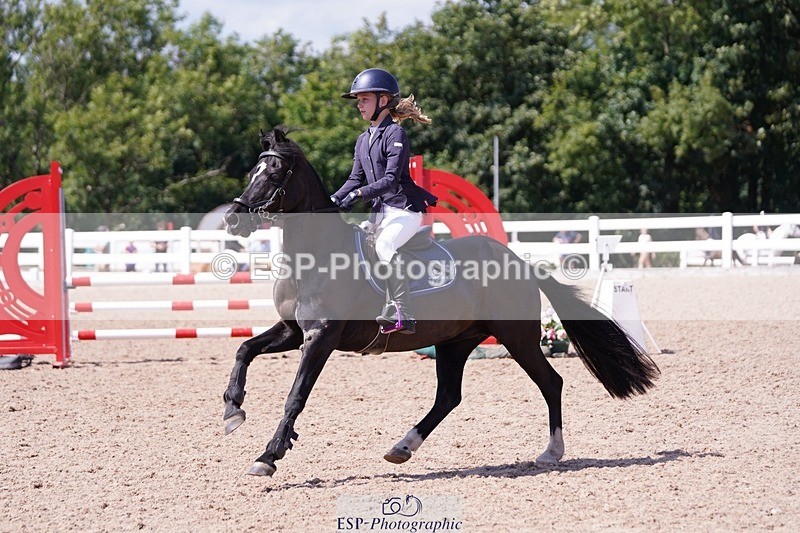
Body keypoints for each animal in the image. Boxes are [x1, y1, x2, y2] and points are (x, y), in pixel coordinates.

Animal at [222, 126, 659, 477]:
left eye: (274, 173)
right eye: (252, 172)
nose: (233, 218)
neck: (315, 256)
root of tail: (520, 262)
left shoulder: (321, 338)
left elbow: (295, 396)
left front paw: (268, 456)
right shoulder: (294, 331)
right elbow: (244, 349)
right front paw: (232, 411)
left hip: (516, 338)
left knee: (550, 382)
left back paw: (551, 452)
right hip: (455, 342)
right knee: (449, 396)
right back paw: (402, 447)